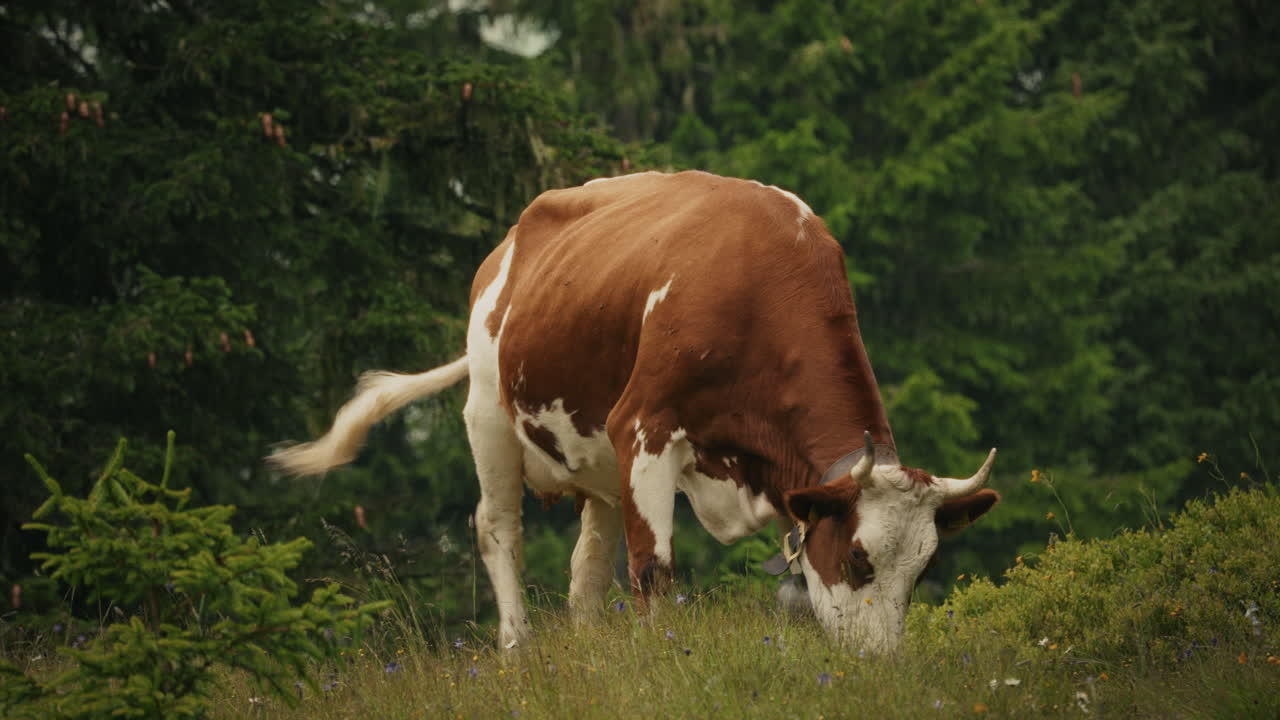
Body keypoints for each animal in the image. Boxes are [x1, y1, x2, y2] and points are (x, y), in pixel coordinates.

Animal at [269, 170, 999, 653]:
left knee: (584, 567)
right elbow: (653, 568)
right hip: (488, 414)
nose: (880, 664)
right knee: (498, 530)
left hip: (592, 457)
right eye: (856, 557)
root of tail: (507, 243)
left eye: (924, 569)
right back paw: (517, 650)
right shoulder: (645, 427)